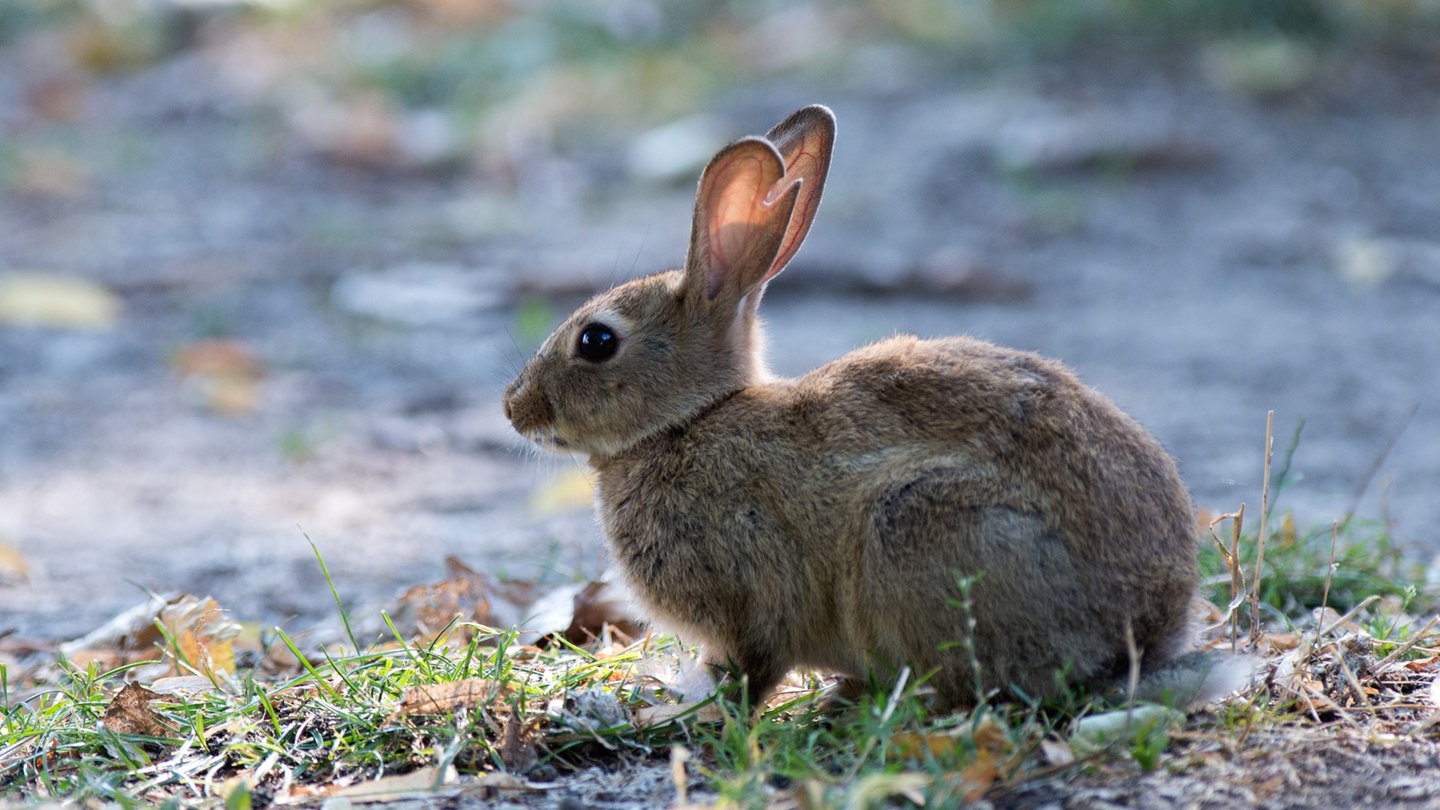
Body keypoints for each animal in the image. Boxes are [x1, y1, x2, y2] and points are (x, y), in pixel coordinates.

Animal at [501, 105, 1221, 706]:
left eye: (597, 341)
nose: (514, 408)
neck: (689, 421)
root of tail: (1146, 633)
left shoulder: (749, 586)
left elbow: (751, 665)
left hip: (918, 527)